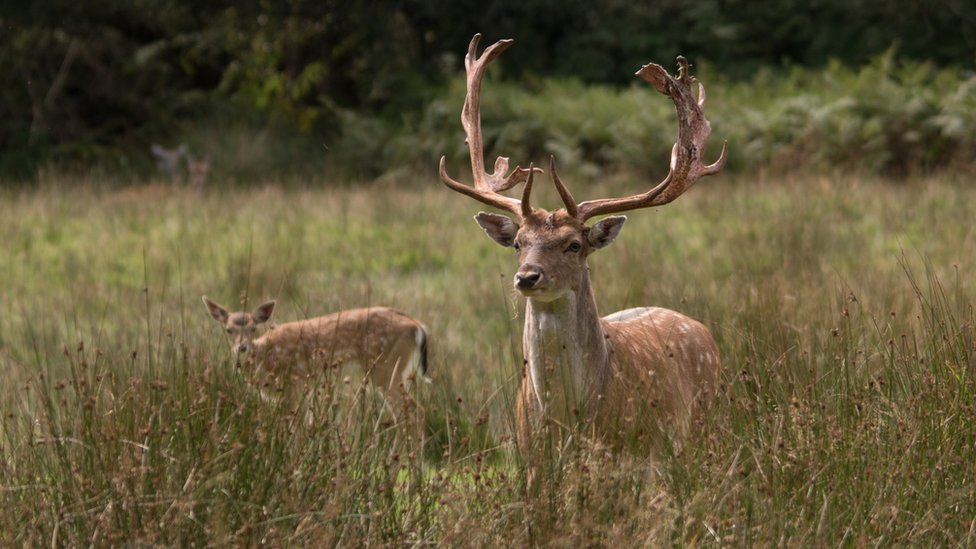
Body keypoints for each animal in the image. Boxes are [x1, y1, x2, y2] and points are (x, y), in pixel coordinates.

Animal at [203, 296, 430, 416]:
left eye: (253, 328)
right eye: (228, 330)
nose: (241, 348)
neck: (266, 359)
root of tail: (417, 327)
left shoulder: (293, 384)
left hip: (386, 368)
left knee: (416, 412)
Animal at [438, 33, 728, 454]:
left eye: (574, 244)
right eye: (518, 243)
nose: (527, 277)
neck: (567, 419)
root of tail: (701, 329)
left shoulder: (635, 445)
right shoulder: (527, 451)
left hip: (706, 419)